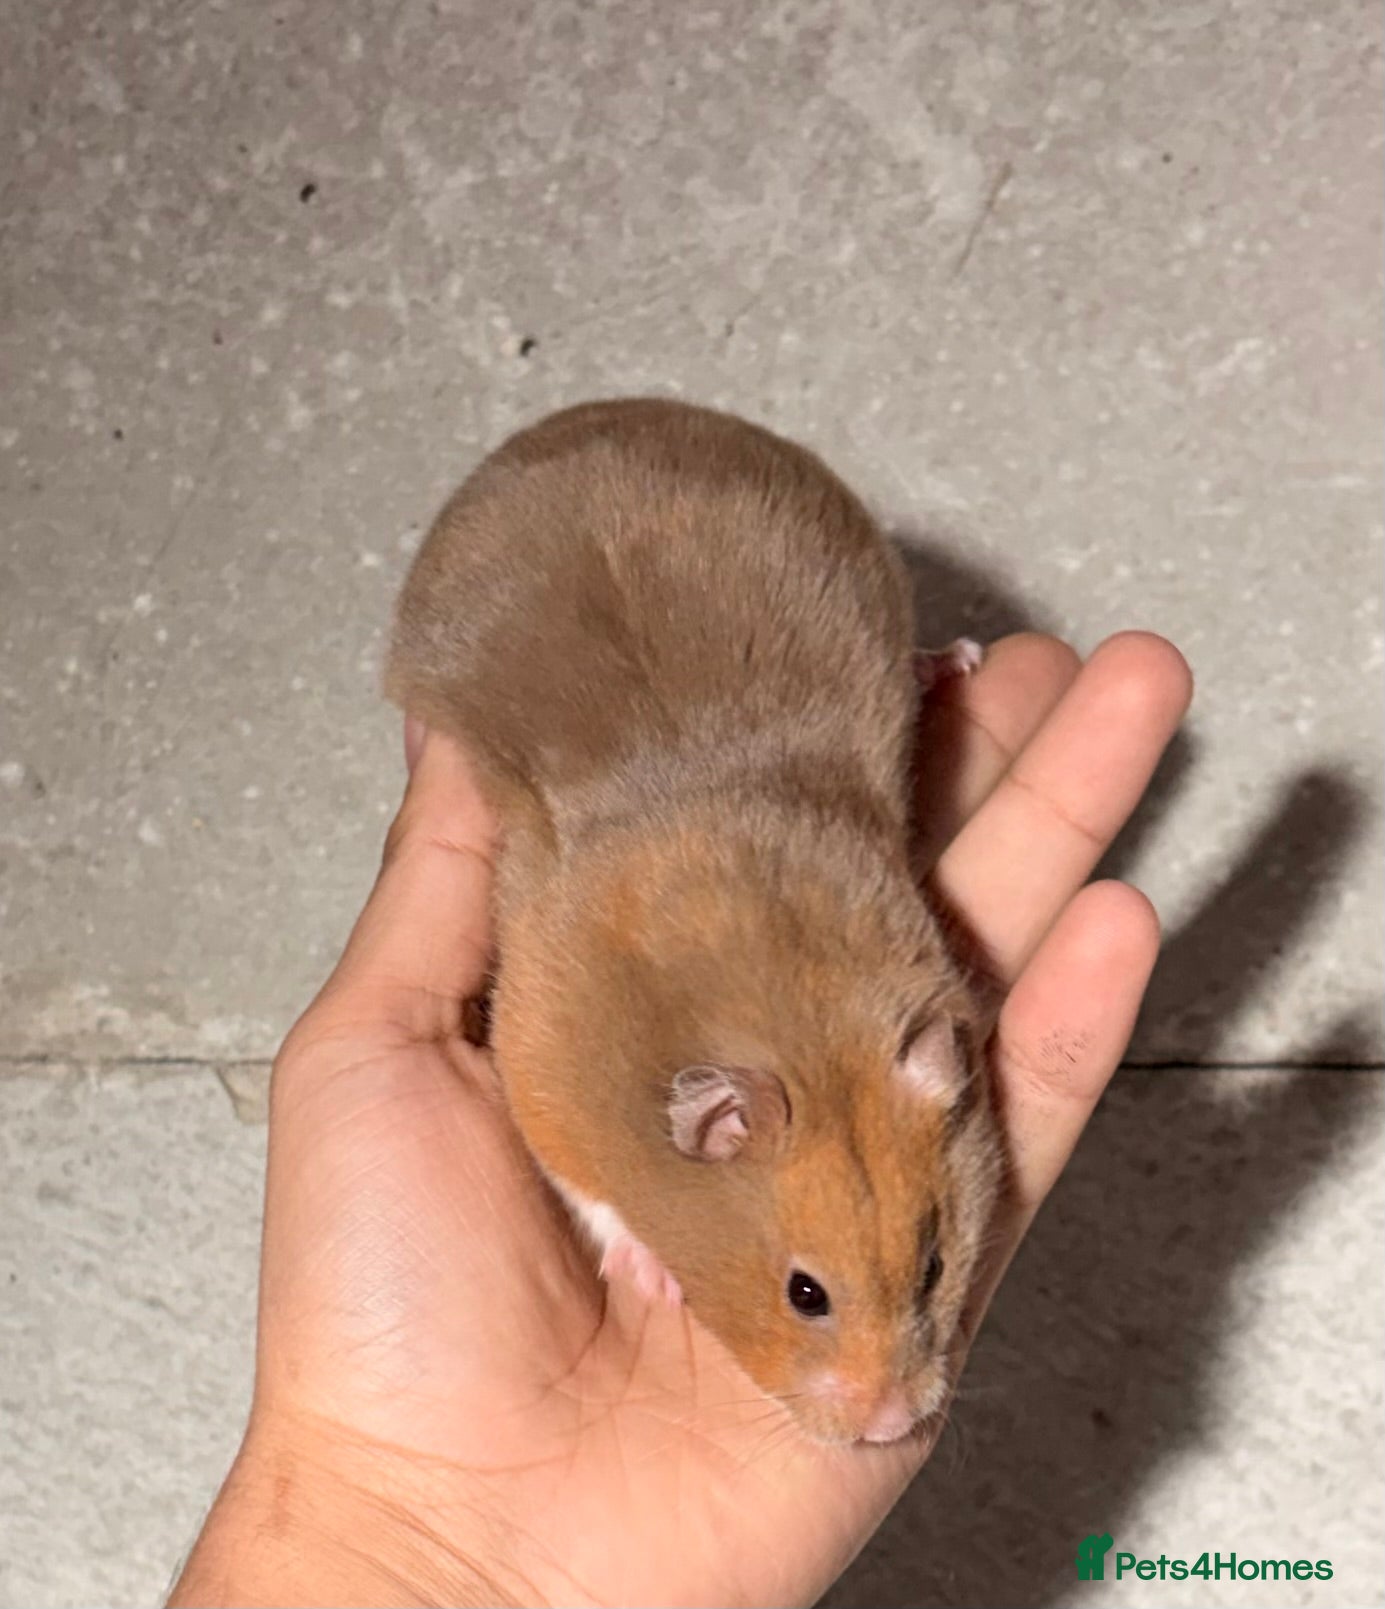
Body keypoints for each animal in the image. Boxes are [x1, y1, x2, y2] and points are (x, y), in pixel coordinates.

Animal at [385, 398, 1002, 1445]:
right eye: (804, 1293)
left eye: (931, 1266)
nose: (888, 1427)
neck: (791, 1024)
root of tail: (597, 413)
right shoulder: (539, 1060)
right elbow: (587, 1186)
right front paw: (651, 1276)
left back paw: (957, 659)